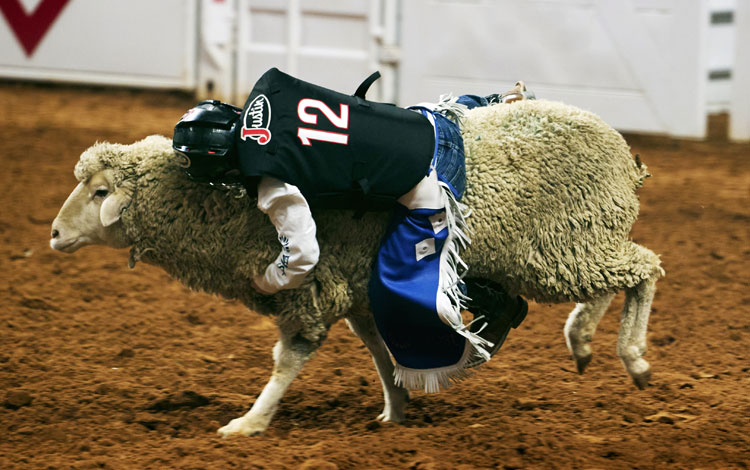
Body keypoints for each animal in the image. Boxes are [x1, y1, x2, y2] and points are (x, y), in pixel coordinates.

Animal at [51, 99, 664, 436]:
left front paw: (248, 424)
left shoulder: (312, 286)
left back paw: (631, 356)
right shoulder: (359, 285)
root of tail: (622, 153)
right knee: (615, 277)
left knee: (645, 269)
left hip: (559, 244)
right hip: (576, 241)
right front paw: (396, 409)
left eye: (100, 191)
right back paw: (582, 339)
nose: (54, 234)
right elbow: (378, 351)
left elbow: (289, 359)